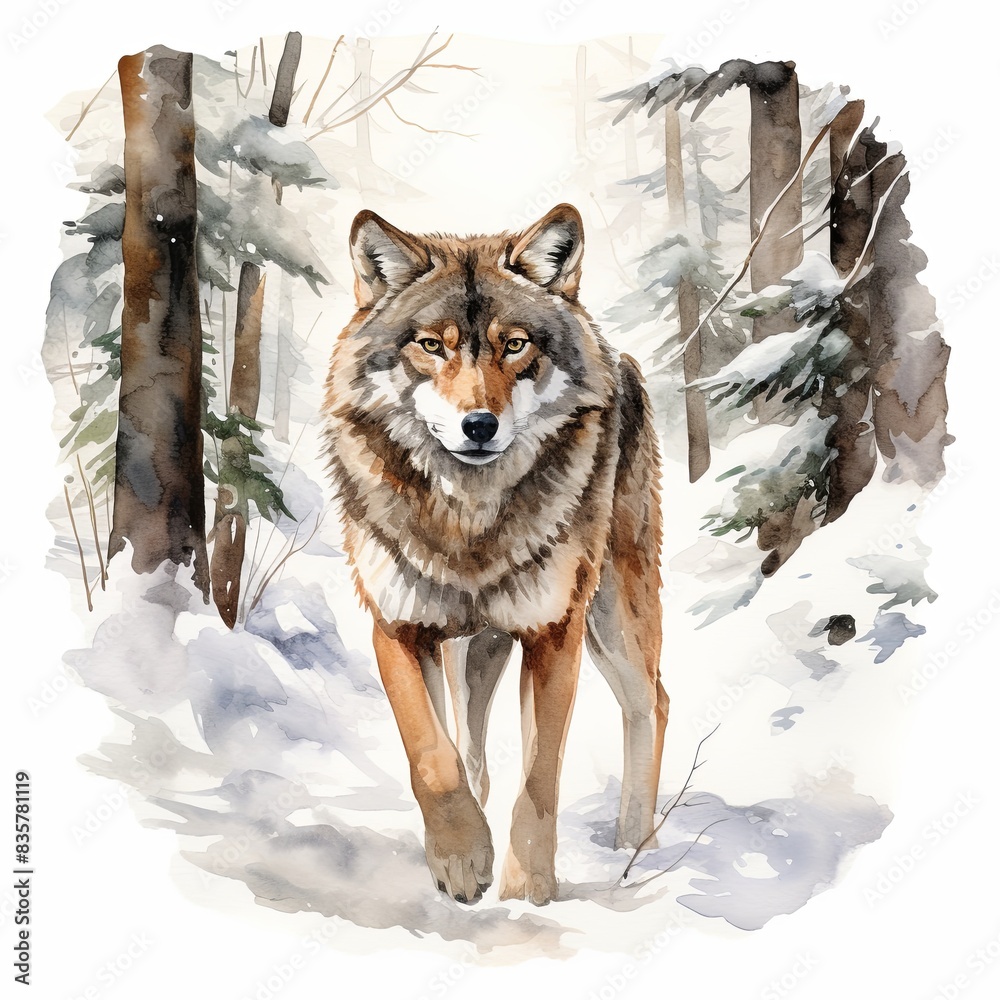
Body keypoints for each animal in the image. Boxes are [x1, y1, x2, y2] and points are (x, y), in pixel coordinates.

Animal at [324, 203, 668, 905]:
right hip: (473, 650)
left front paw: (526, 889)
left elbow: (540, 777)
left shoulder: (553, 632)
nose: (479, 425)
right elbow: (433, 756)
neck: (468, 524)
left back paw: (634, 847)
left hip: (614, 619)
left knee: (653, 703)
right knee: (470, 747)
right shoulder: (397, 627)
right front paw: (462, 859)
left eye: (515, 345)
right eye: (432, 345)